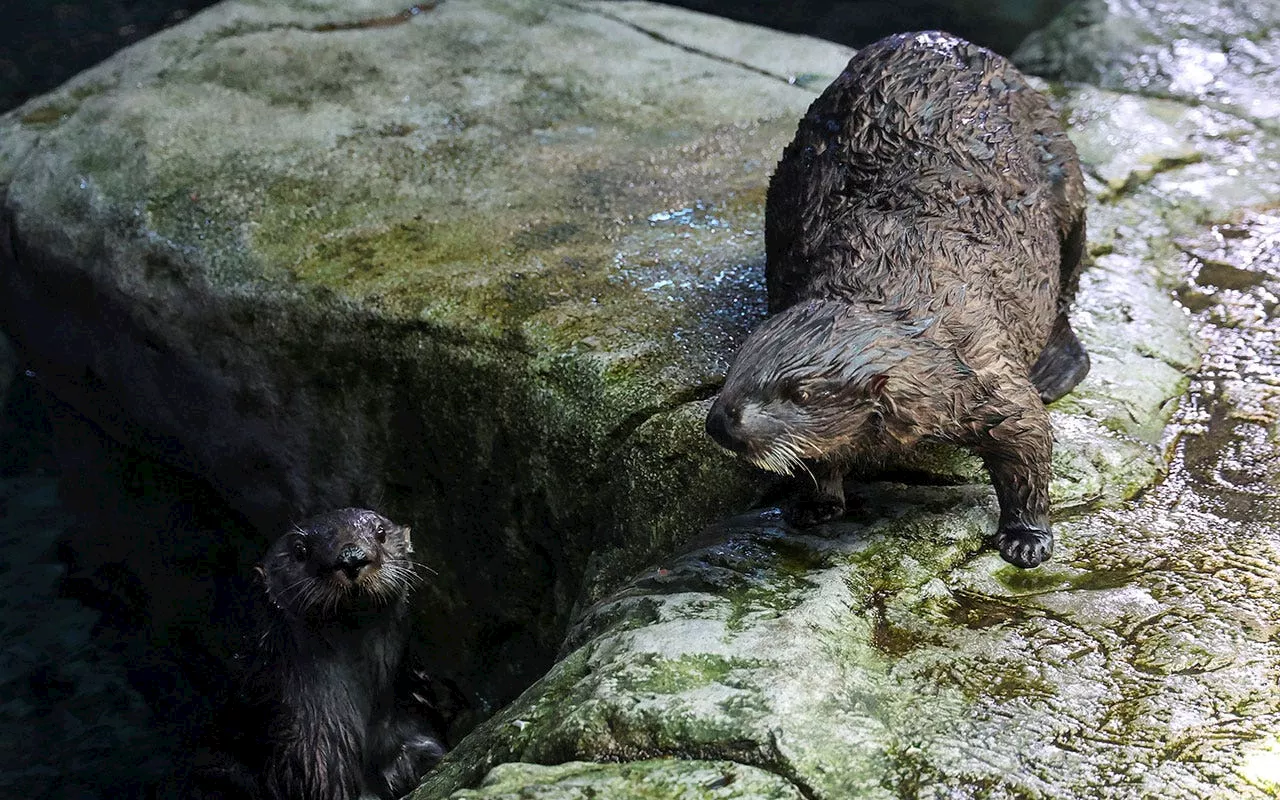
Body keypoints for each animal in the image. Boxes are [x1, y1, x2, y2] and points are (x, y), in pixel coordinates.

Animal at [711, 31, 1090, 568]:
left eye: (799, 393)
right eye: (735, 369)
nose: (719, 422)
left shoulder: (987, 370)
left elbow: (1029, 446)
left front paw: (1027, 539)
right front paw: (814, 504)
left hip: (1067, 184)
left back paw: (1055, 370)